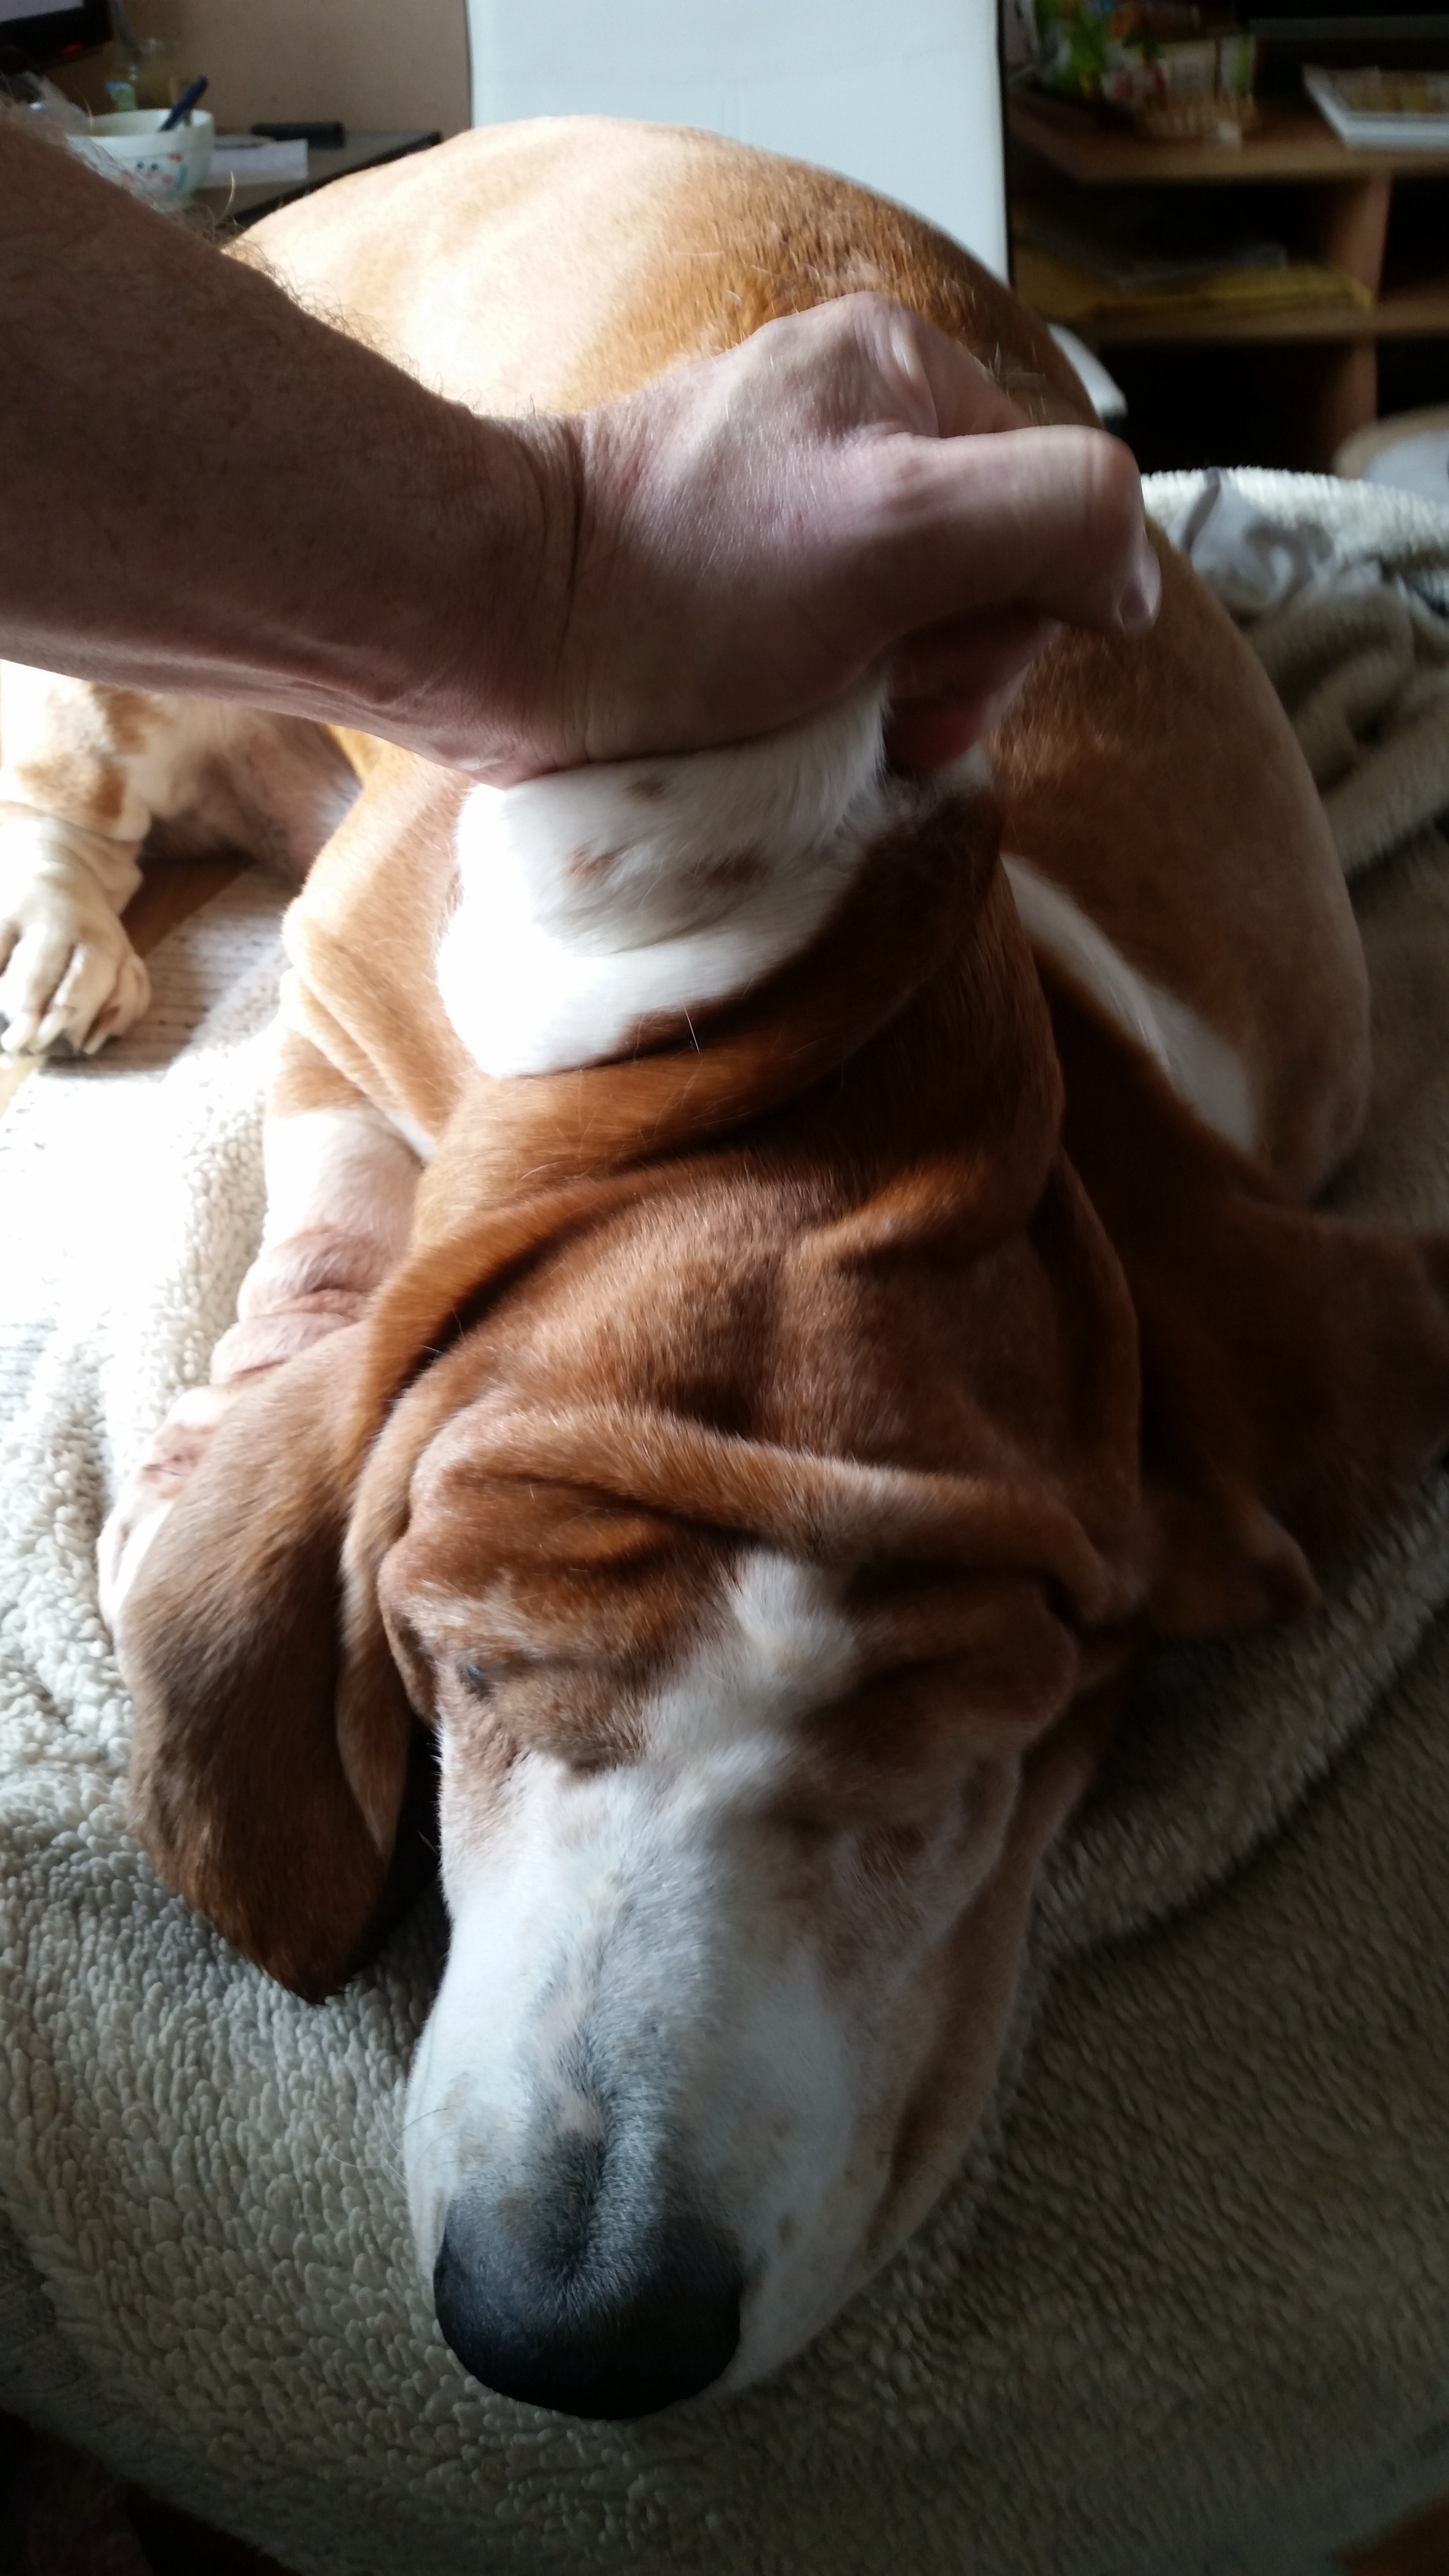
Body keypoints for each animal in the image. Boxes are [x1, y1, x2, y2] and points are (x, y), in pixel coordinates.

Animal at [4, 119, 1449, 2421]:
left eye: (988, 1717)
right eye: (453, 1665)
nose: (579, 2317)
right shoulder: (333, 988)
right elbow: (339, 1212)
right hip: (143, 643)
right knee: (73, 770)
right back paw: (65, 944)